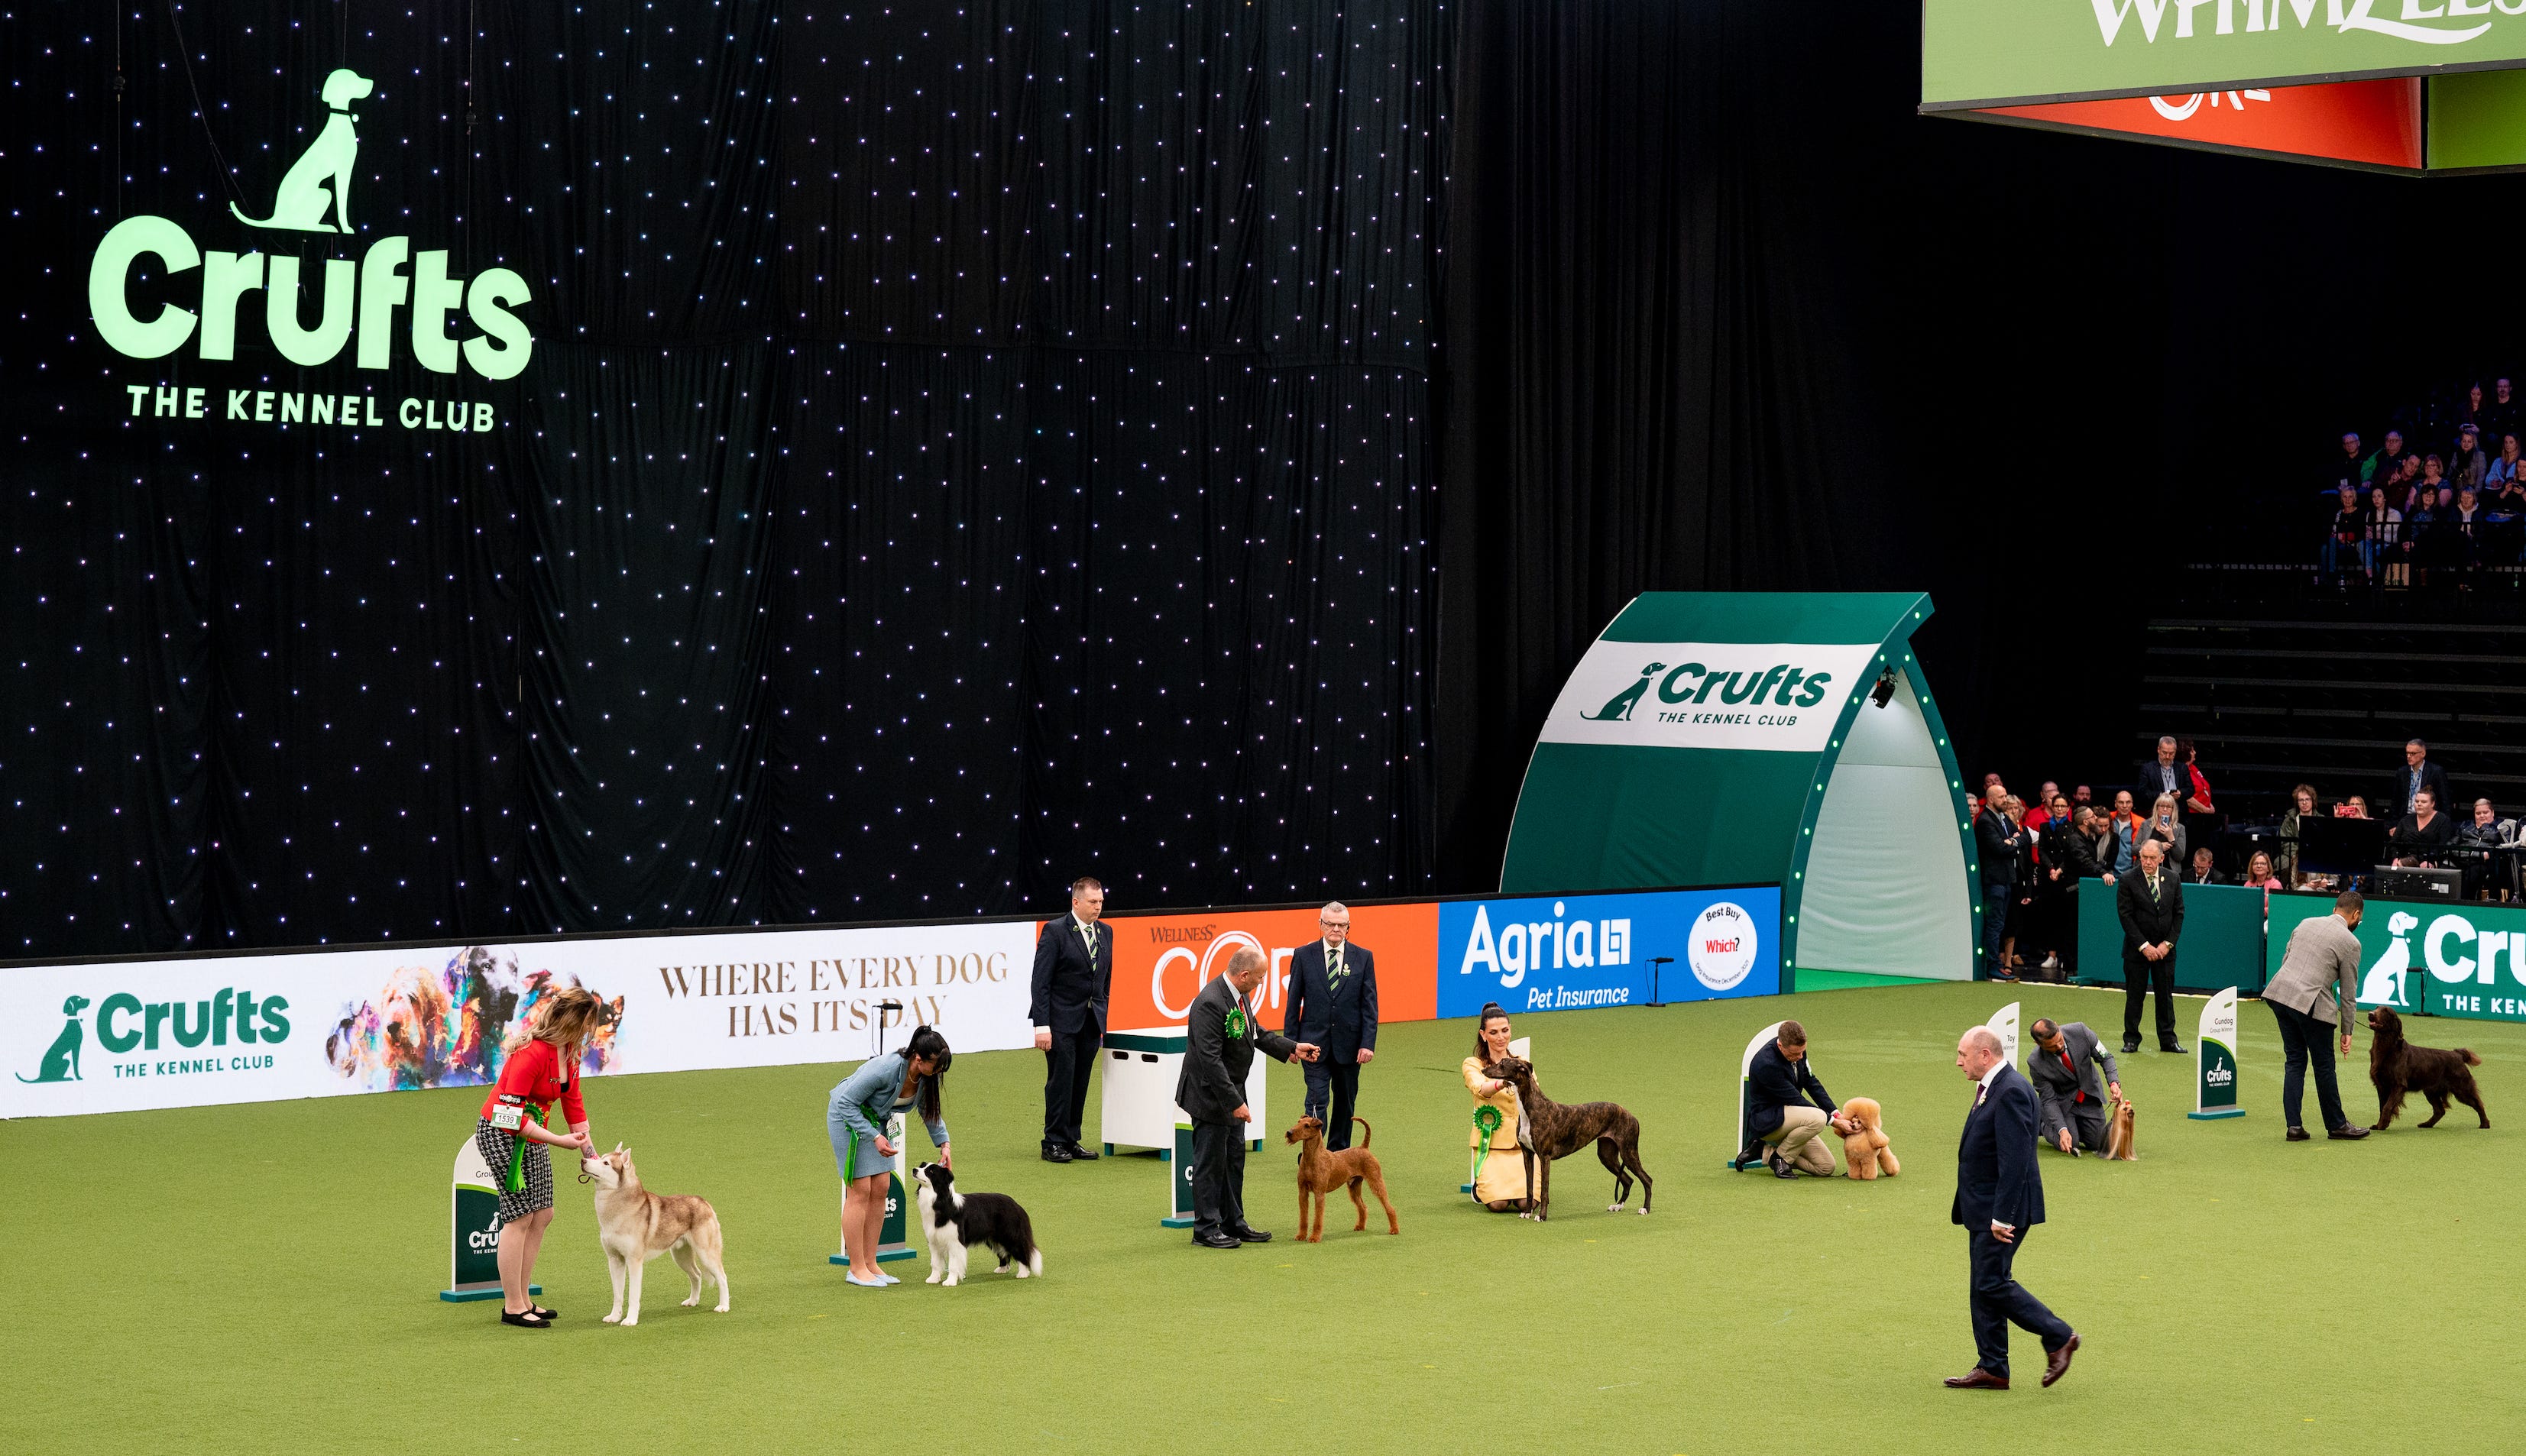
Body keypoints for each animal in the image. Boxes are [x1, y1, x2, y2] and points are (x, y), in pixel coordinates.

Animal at [1283, 1110, 1404, 1236]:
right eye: (1298, 1122)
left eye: (1307, 1126)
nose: (1289, 1132)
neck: (1312, 1158)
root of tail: (1364, 1147)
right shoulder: (1303, 1192)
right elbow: (1303, 1217)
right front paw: (1301, 1236)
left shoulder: (1319, 1193)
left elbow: (1318, 1219)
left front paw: (1314, 1238)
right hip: (1354, 1186)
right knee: (1362, 1206)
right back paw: (1360, 1226)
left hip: (1376, 1181)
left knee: (1389, 1207)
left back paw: (1394, 1229)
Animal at [1475, 1054, 1647, 1216]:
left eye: (1502, 1064)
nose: (1483, 1070)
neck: (1532, 1107)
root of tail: (1633, 1117)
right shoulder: (1527, 1154)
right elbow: (1529, 1188)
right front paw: (1527, 1212)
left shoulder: (1545, 1157)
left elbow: (1544, 1191)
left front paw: (1541, 1216)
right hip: (1607, 1155)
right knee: (1629, 1180)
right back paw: (1618, 1206)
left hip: (1628, 1151)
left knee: (1647, 1179)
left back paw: (1645, 1208)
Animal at [2364, 1004, 2486, 1130]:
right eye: (2376, 1008)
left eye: (2386, 1011)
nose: (2370, 1014)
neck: (2386, 1048)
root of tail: (2457, 1055)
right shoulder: (2381, 1086)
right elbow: (2382, 1106)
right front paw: (2379, 1125)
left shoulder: (2399, 1085)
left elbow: (2387, 1106)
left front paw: (2382, 1125)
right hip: (2431, 1091)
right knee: (2440, 1111)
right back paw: (2426, 1124)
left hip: (2461, 1088)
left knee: (2478, 1104)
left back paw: (2485, 1124)